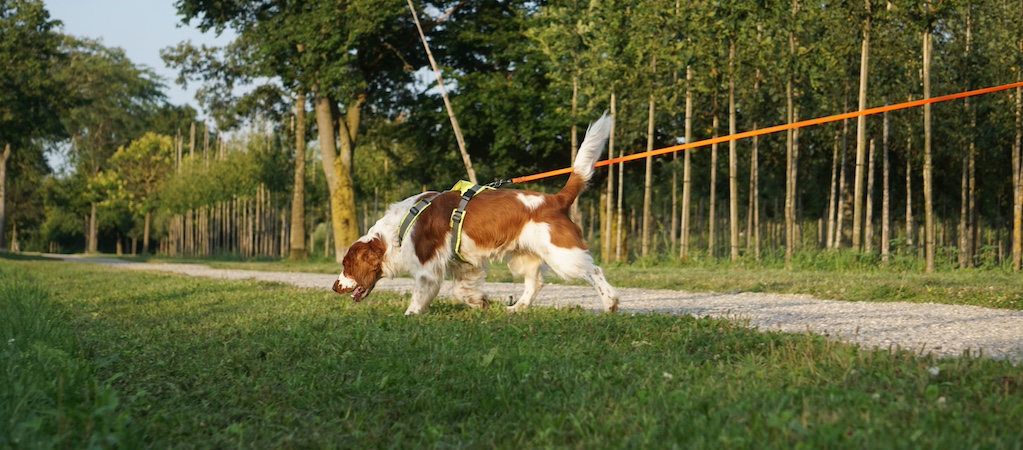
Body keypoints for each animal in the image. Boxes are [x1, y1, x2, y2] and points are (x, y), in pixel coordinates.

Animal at [335, 114, 617, 315]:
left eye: (347, 266)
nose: (334, 287)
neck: (399, 229)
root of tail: (556, 199)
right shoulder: (462, 263)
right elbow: (461, 290)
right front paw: (480, 302)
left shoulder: (427, 265)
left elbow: (421, 293)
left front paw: (410, 315)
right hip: (524, 256)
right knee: (535, 282)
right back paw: (516, 309)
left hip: (562, 255)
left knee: (594, 271)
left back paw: (611, 304)